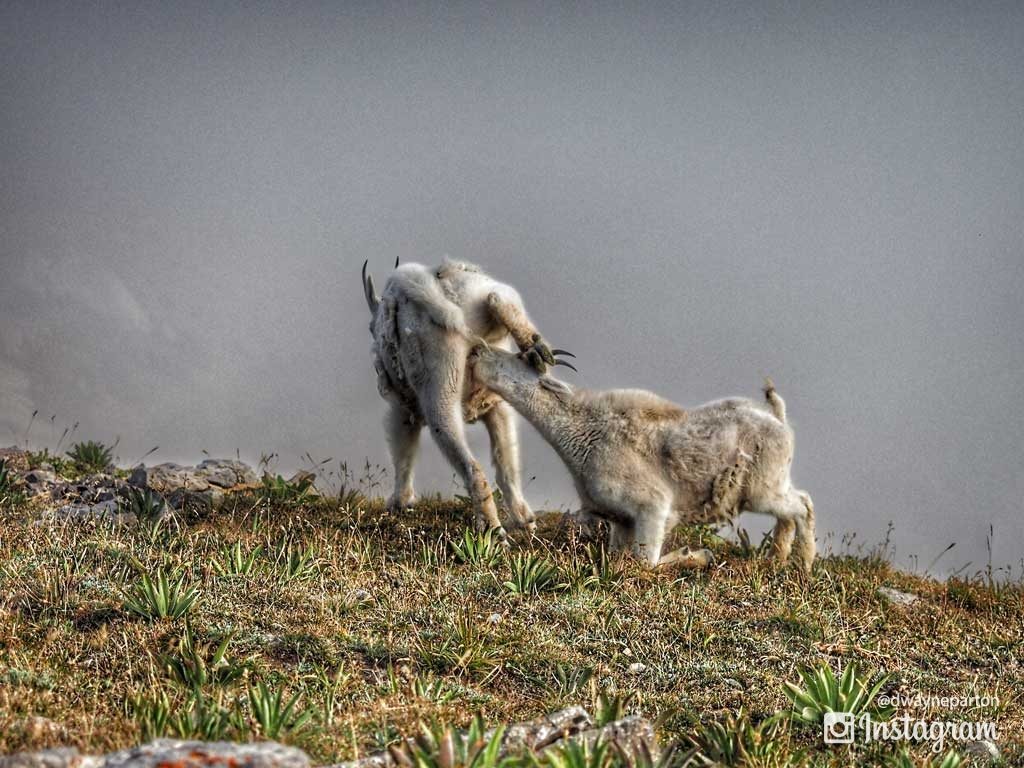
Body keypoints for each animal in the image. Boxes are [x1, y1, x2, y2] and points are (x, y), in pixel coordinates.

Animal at [362, 259, 577, 536]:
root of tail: (431, 292)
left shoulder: (401, 408)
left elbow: (402, 452)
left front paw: (399, 503)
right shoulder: (495, 404)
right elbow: (505, 460)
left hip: (438, 381)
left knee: (469, 464)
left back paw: (492, 531)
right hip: (478, 301)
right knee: (498, 297)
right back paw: (536, 351)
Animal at [468, 348, 815, 573]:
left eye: (518, 358)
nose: (477, 350)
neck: (582, 430)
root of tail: (779, 419)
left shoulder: (653, 507)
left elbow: (645, 562)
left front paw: (700, 555)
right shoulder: (621, 519)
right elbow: (619, 555)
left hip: (763, 489)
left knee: (802, 505)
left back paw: (805, 563)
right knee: (789, 514)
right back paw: (776, 558)